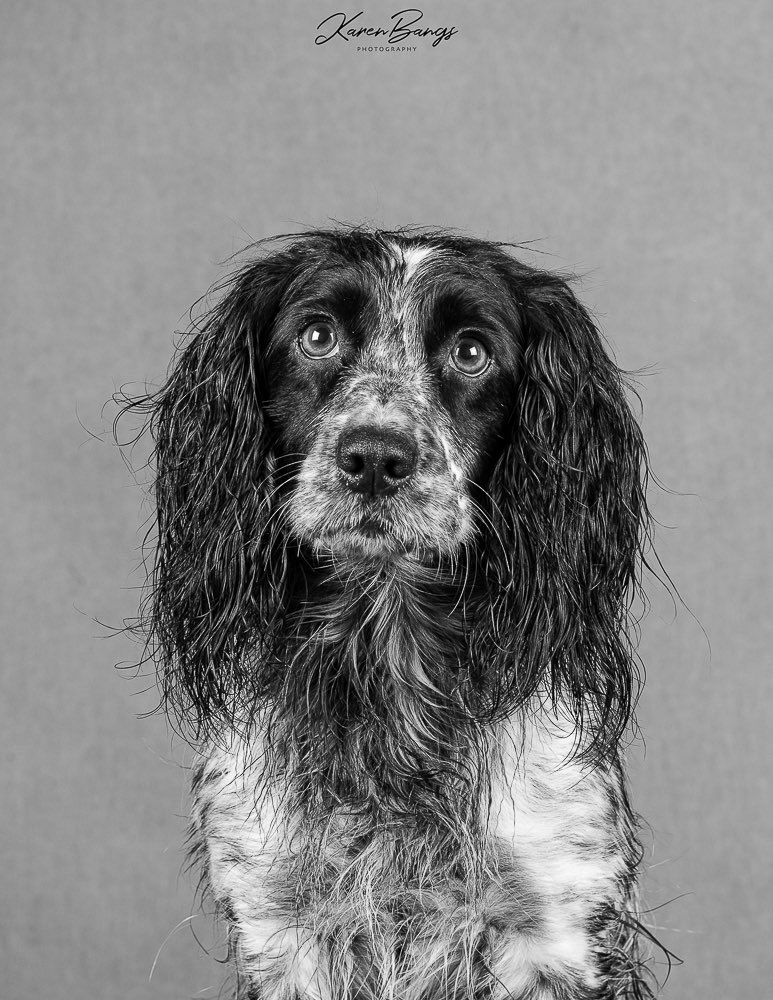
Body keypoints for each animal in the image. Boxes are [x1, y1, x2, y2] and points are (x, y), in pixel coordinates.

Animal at [131, 229, 656, 1000]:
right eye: (317, 336)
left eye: (471, 351)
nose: (376, 456)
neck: (388, 656)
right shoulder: (282, 924)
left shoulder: (557, 920)